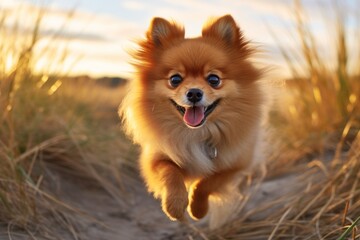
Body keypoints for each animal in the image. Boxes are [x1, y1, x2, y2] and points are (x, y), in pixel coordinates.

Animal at [119, 14, 262, 225]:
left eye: (214, 79)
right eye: (175, 79)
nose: (194, 93)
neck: (197, 132)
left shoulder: (236, 165)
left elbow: (208, 181)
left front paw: (198, 209)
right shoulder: (156, 158)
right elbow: (170, 172)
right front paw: (174, 205)